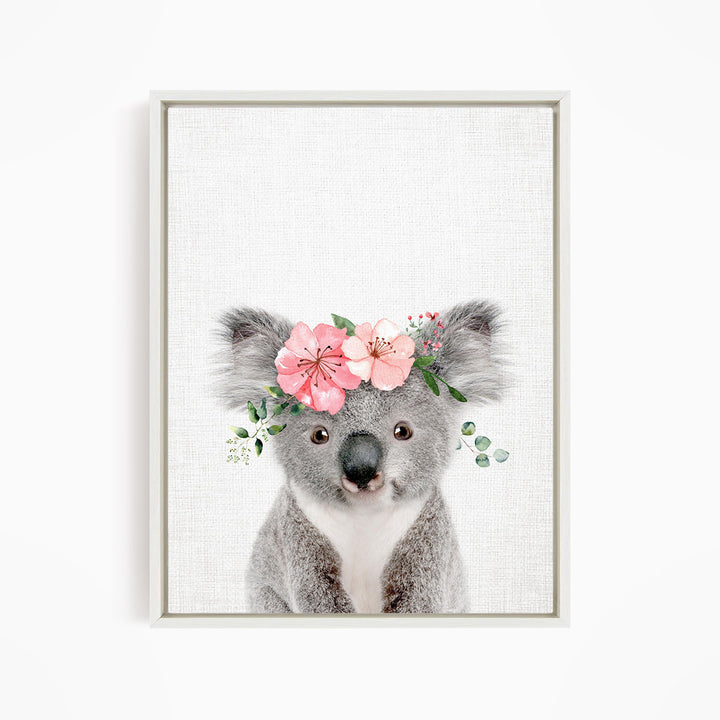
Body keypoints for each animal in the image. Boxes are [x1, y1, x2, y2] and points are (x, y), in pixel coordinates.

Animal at [216, 300, 504, 614]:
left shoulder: (427, 536)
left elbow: (419, 596)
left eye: (403, 431)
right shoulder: (297, 534)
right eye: (319, 435)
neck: (364, 517)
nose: (361, 470)